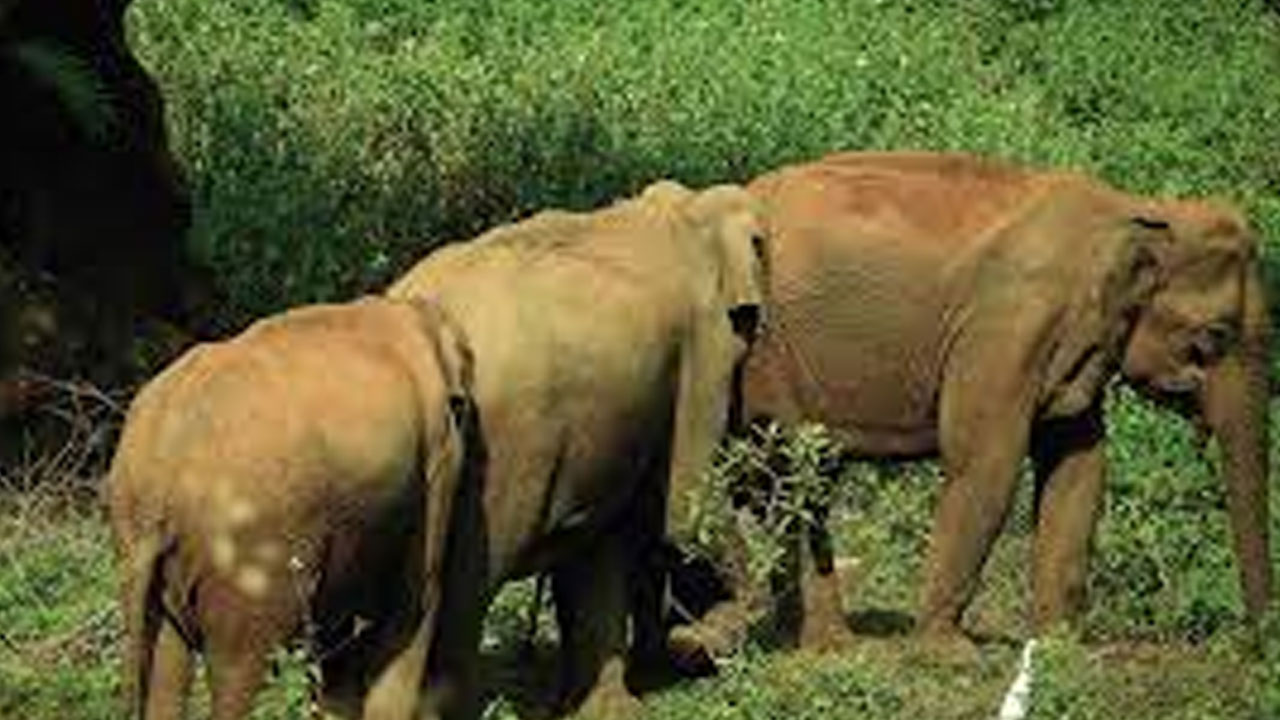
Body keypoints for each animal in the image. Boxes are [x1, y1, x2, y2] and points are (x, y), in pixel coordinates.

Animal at [105, 295, 472, 720]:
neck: (411, 314)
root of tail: (160, 460)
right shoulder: (439, 458)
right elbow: (419, 598)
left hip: (136, 541)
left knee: (167, 662)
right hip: (249, 553)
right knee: (245, 670)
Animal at [384, 180, 767, 718]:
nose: (691, 635)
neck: (678, 208)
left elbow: (597, 547)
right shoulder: (702, 346)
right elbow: (686, 505)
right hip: (504, 455)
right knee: (469, 588)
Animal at [671, 151, 1272, 656]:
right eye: (1213, 338)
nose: (1254, 648)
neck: (1137, 209)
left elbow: (1079, 468)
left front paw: (1057, 649)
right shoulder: (1009, 326)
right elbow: (986, 461)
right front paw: (950, 655)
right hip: (761, 349)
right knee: (789, 474)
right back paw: (830, 648)